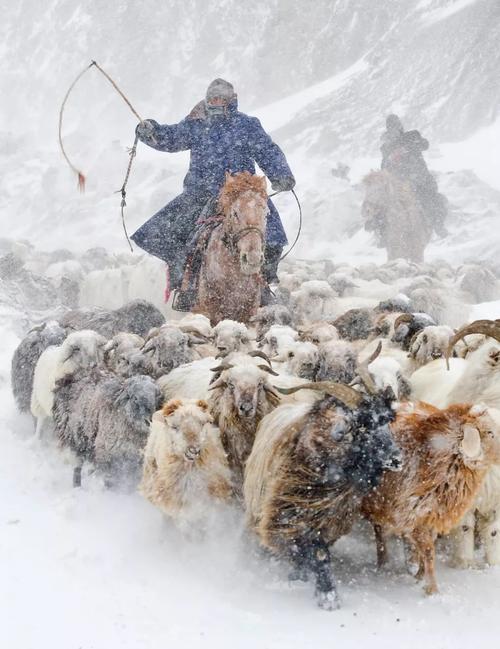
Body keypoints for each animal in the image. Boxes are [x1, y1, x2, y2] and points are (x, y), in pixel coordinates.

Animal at [244, 380, 400, 608]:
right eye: (363, 425)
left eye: (388, 421)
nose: (397, 458)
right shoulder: (288, 517)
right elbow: (316, 554)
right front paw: (327, 595)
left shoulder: (327, 522)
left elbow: (318, 552)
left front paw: (318, 587)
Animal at [362, 402, 500, 596]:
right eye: (490, 432)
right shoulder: (414, 514)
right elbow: (428, 551)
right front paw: (431, 588)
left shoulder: (433, 514)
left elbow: (428, 548)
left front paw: (420, 576)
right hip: (378, 503)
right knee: (379, 531)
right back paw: (383, 563)